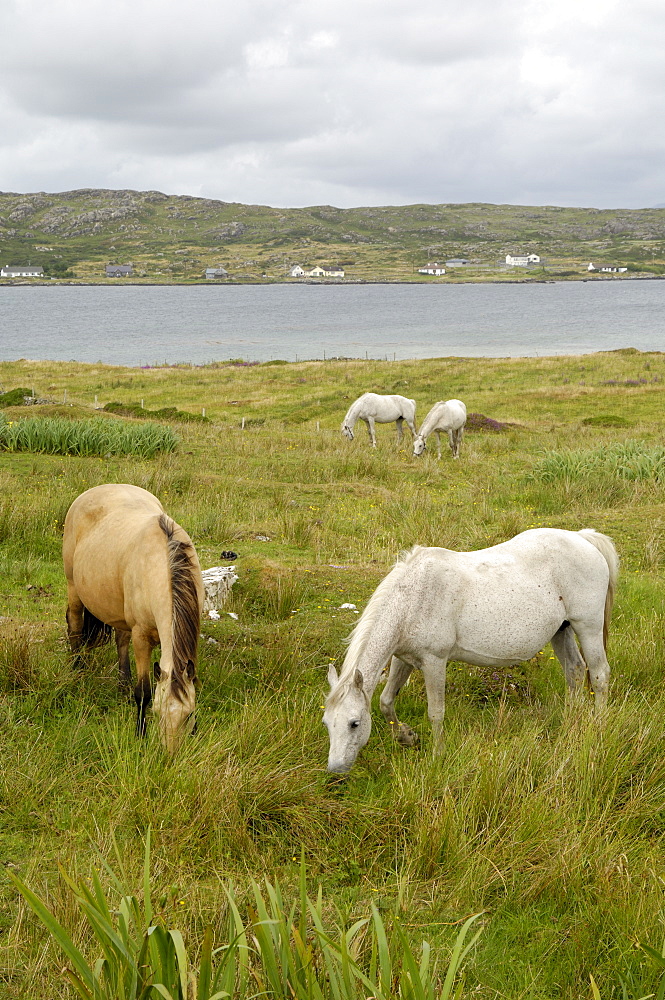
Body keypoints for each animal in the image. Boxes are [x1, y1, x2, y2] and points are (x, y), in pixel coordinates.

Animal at [62, 482, 204, 752]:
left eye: (189, 715)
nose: (170, 755)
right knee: (74, 625)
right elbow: (144, 692)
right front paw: (140, 733)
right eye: (157, 713)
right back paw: (77, 669)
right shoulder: (141, 637)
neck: (163, 563)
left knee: (120, 639)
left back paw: (122, 682)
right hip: (73, 587)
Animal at [322, 528, 616, 776]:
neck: (413, 598)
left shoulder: (434, 662)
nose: (336, 770)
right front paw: (406, 737)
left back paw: (598, 725)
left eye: (354, 723)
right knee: (575, 671)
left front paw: (437, 755)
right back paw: (570, 721)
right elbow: (385, 701)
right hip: (561, 630)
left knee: (599, 674)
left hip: (587, 627)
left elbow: (436, 712)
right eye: (326, 723)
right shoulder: (403, 658)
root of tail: (583, 537)